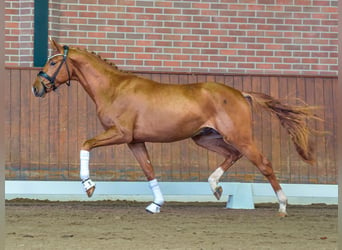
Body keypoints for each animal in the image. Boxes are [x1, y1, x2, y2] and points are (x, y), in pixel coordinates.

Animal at [32, 40, 318, 216]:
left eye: (53, 63)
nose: (36, 87)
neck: (114, 89)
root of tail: (240, 93)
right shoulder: (134, 140)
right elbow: (148, 170)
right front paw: (156, 204)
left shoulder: (120, 134)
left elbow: (85, 144)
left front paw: (88, 186)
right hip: (205, 138)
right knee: (232, 155)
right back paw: (215, 187)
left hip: (240, 136)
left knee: (264, 164)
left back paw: (282, 206)